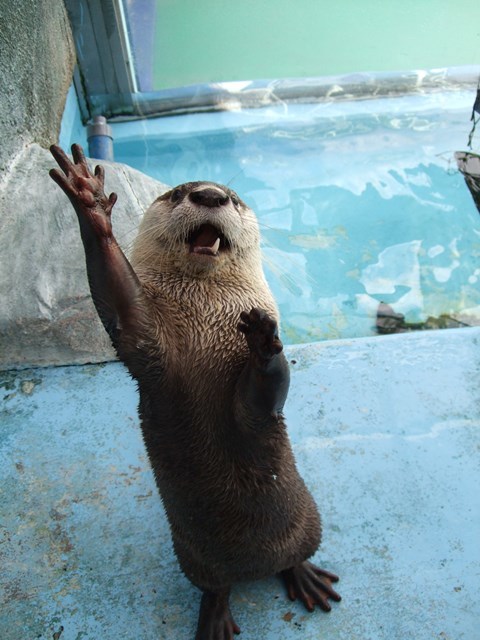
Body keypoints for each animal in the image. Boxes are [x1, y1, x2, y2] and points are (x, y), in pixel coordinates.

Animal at [49, 145, 342, 640]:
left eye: (235, 199)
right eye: (179, 192)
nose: (210, 195)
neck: (204, 324)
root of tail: (254, 570)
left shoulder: (249, 399)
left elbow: (265, 396)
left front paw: (263, 339)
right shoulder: (148, 344)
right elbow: (120, 302)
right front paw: (89, 200)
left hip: (310, 525)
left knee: (296, 556)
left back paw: (304, 576)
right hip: (193, 558)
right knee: (215, 586)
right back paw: (217, 615)